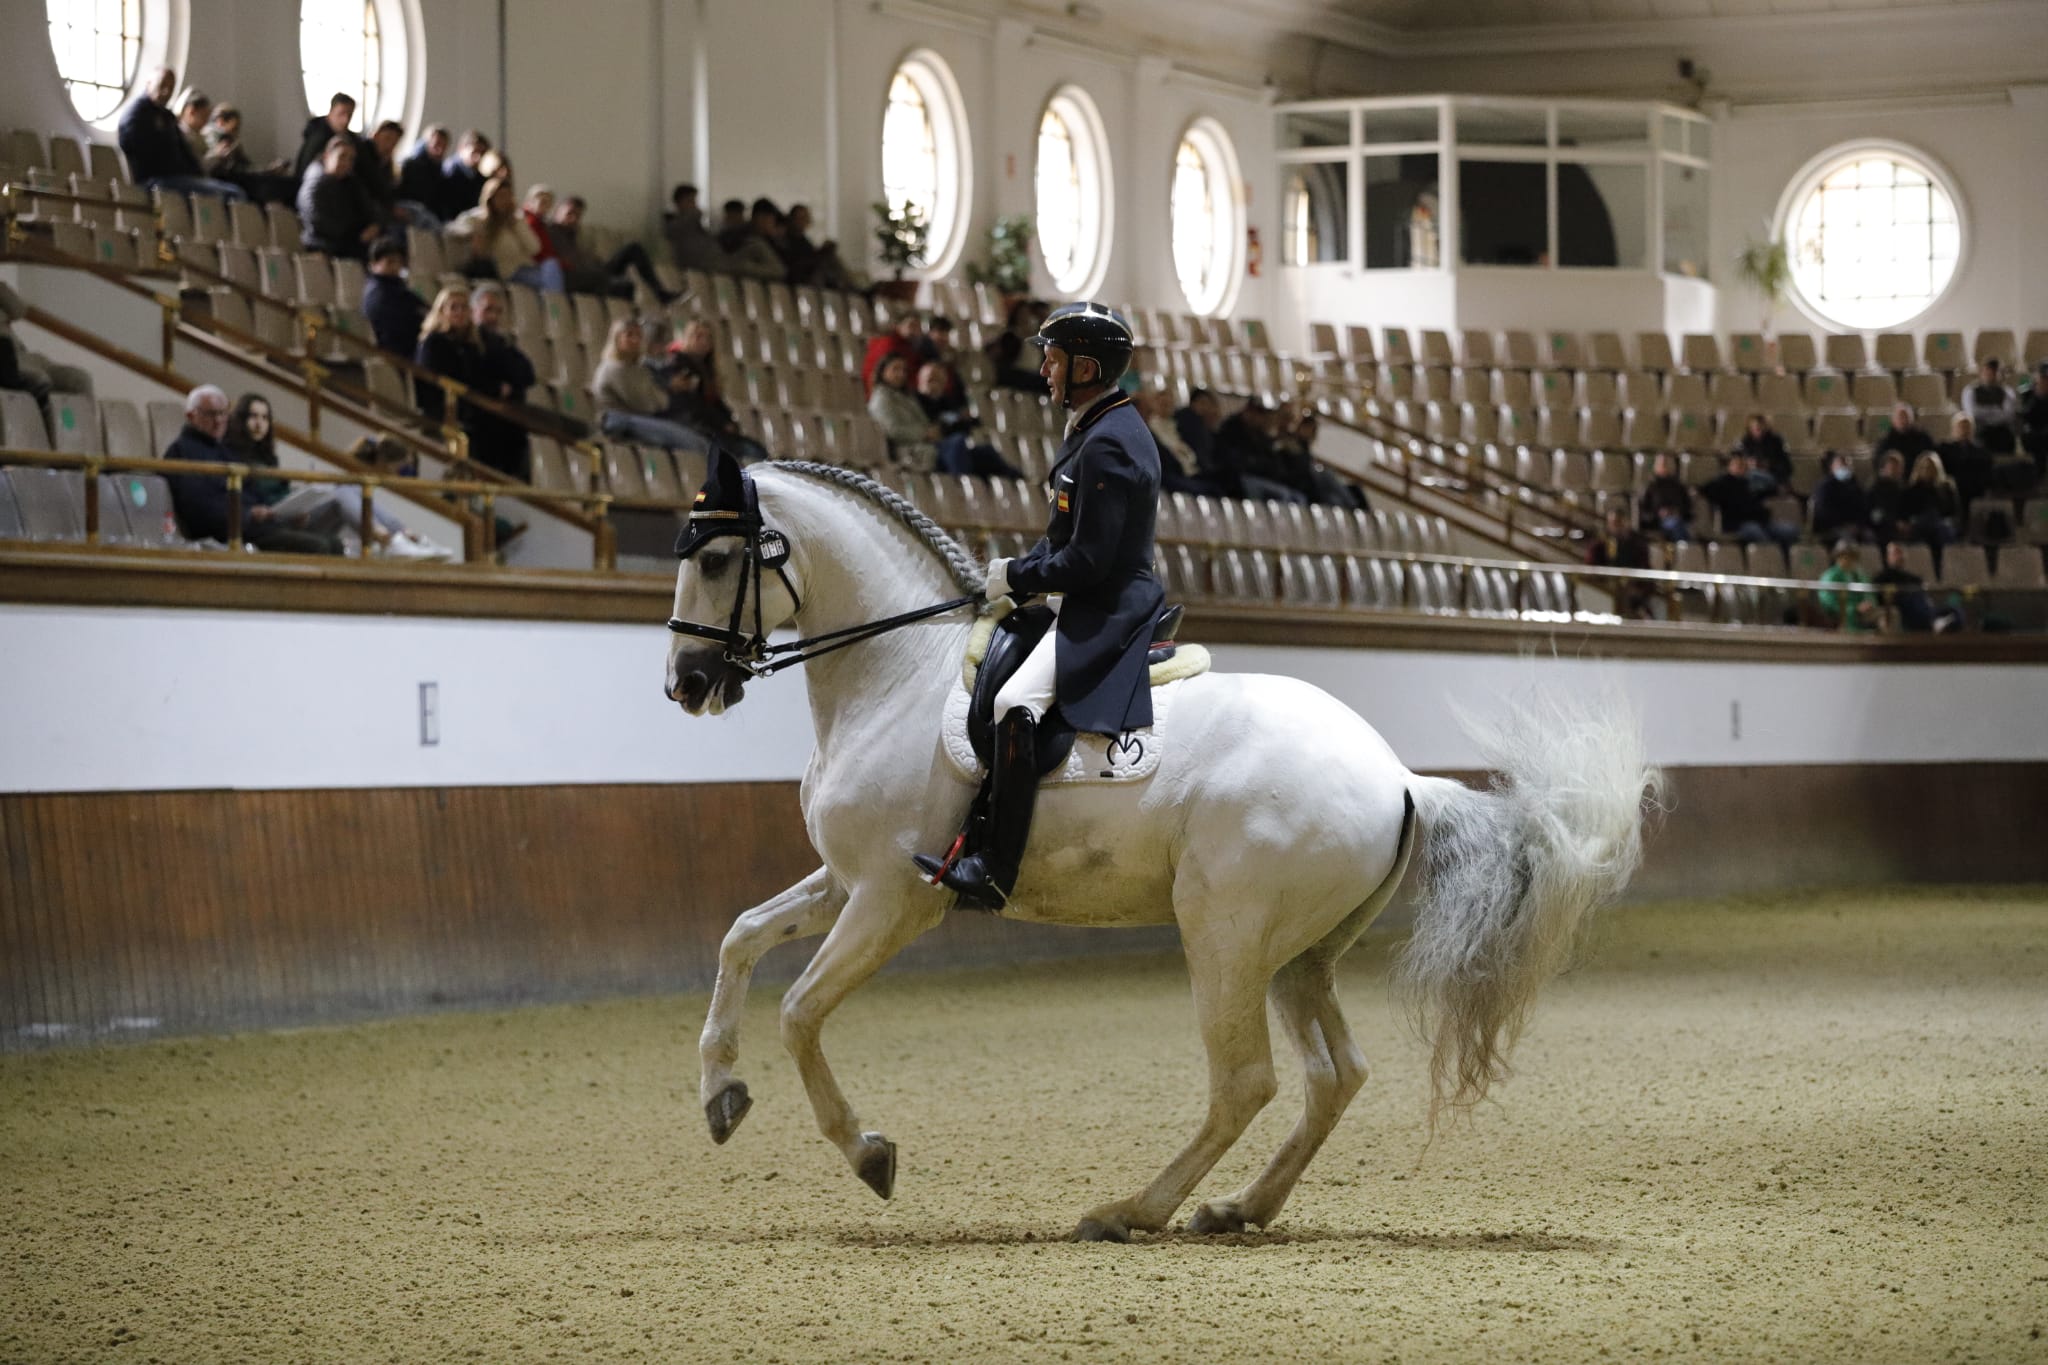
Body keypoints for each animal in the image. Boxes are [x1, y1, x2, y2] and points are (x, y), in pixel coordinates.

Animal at [663, 464, 1654, 1244]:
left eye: (713, 560)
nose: (687, 684)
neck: (896, 674)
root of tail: (1398, 776)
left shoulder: (891, 898)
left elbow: (800, 1010)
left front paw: (867, 1151)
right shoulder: (847, 880)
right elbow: (739, 937)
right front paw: (720, 1094)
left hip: (1223, 934)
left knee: (1246, 1081)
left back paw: (1131, 1210)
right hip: (1297, 955)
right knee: (1334, 1074)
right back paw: (1237, 1208)